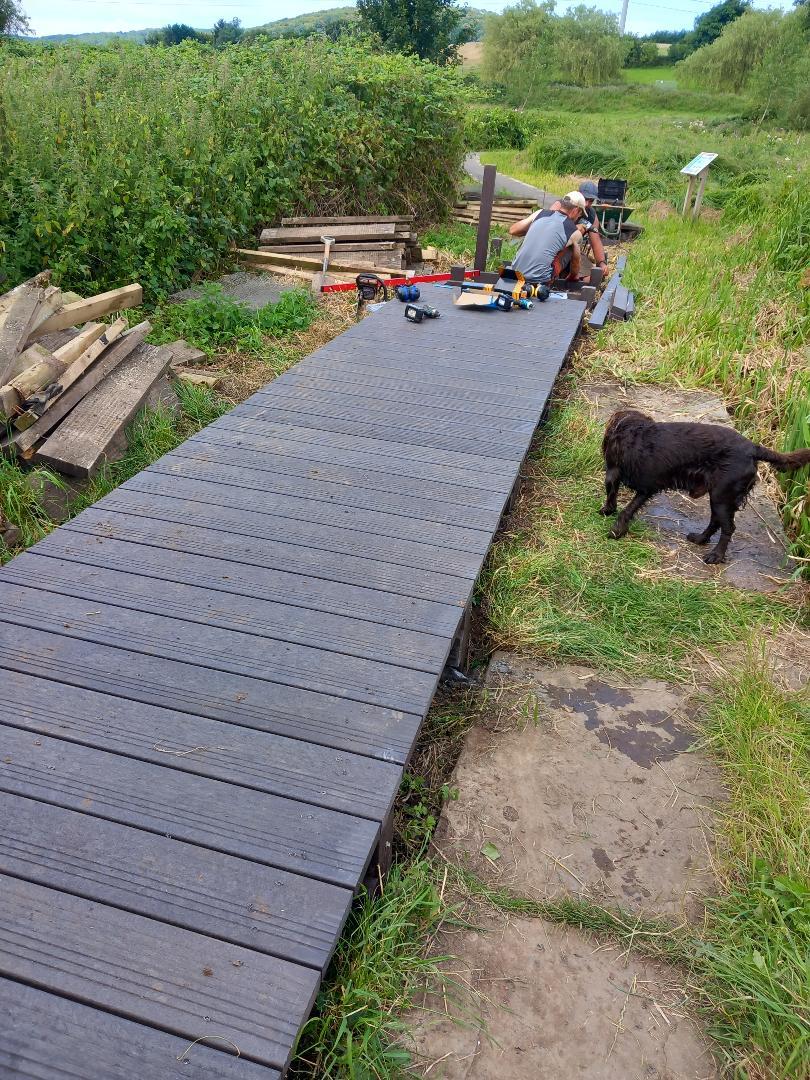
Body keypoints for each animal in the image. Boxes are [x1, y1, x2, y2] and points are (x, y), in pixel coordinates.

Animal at [600, 409, 810, 564]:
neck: (634, 432)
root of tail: (753, 447)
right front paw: (609, 512)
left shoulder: (645, 487)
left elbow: (626, 509)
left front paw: (616, 530)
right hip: (719, 497)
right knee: (716, 522)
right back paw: (700, 539)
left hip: (721, 496)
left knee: (728, 528)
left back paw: (716, 556)